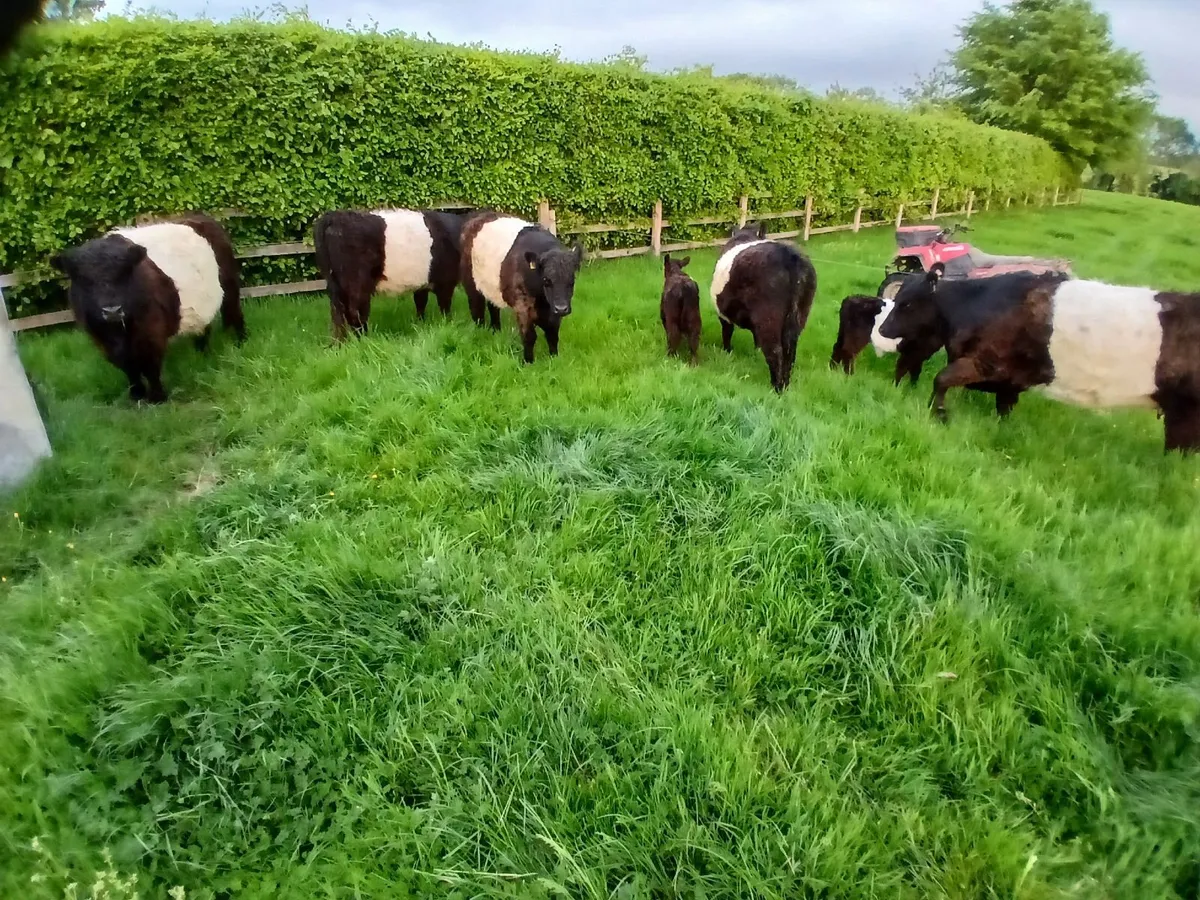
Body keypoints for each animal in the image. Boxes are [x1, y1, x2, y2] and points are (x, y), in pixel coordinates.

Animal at [50, 214, 245, 404]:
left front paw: (158, 398)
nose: (112, 310)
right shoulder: (102, 339)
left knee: (235, 314)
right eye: (84, 279)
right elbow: (129, 369)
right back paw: (203, 353)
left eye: (125, 273)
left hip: (230, 286)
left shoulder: (152, 333)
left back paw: (241, 342)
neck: (120, 332)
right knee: (203, 329)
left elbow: (151, 367)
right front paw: (136, 394)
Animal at [313, 208, 466, 341]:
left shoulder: (422, 283)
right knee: (354, 311)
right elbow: (445, 306)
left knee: (338, 313)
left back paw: (340, 343)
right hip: (357, 284)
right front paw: (448, 324)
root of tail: (334, 216)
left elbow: (420, 303)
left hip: (334, 284)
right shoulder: (446, 282)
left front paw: (420, 324)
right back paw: (363, 339)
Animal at [459, 211, 584, 364]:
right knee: (477, 309)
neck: (542, 302)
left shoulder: (553, 310)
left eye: (572, 280)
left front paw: (554, 358)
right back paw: (480, 331)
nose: (561, 308)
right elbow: (529, 335)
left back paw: (496, 330)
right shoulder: (522, 305)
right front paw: (528, 362)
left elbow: (552, 333)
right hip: (470, 281)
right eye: (546, 280)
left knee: (493, 307)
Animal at [711, 223, 817, 392]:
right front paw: (756, 351)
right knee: (790, 350)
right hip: (800, 313)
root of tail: (789, 256)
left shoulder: (723, 314)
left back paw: (776, 387)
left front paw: (727, 351)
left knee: (775, 351)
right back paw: (785, 385)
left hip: (768, 317)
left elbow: (727, 332)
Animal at [879, 269, 1200, 453]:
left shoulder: (985, 362)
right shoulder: (1008, 379)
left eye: (907, 303)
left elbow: (942, 379)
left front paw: (940, 415)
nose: (883, 329)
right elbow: (1004, 409)